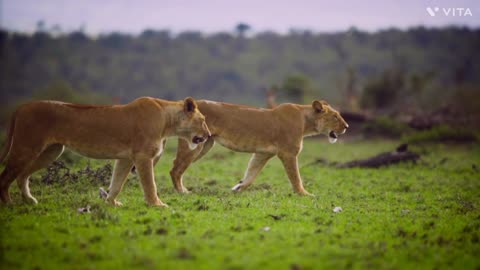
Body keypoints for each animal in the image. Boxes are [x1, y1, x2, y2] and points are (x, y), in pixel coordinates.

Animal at [0, 97, 210, 207]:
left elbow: (116, 183)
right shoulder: (143, 156)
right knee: (5, 177)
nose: (208, 135)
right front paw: (157, 205)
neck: (168, 122)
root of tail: (22, 107)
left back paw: (30, 200)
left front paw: (111, 203)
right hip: (26, 148)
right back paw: (8, 203)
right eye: (202, 120)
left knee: (22, 176)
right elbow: (150, 184)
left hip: (51, 151)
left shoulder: (125, 158)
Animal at [166, 99, 348, 194]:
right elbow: (295, 177)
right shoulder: (288, 153)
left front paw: (237, 188)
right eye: (335, 116)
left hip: (205, 144)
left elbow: (251, 174)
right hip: (195, 145)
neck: (306, 122)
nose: (346, 126)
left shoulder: (262, 154)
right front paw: (305, 194)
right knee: (176, 168)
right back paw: (182, 191)